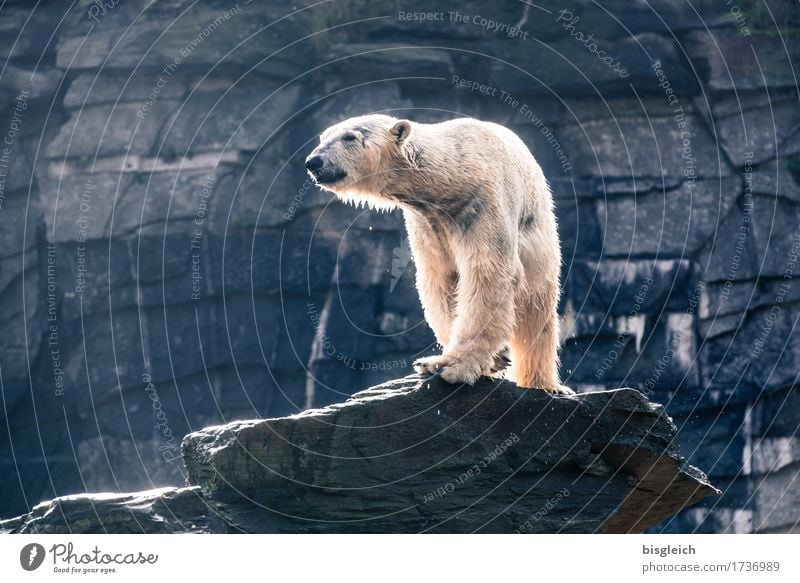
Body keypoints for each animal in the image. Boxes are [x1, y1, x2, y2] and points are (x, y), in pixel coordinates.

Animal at [304, 113, 572, 396]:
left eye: (350, 137)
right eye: (323, 136)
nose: (313, 162)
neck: (451, 179)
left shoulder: (482, 206)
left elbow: (487, 274)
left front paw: (450, 366)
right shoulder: (428, 225)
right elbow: (441, 281)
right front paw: (475, 359)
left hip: (539, 235)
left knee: (537, 309)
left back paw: (545, 384)